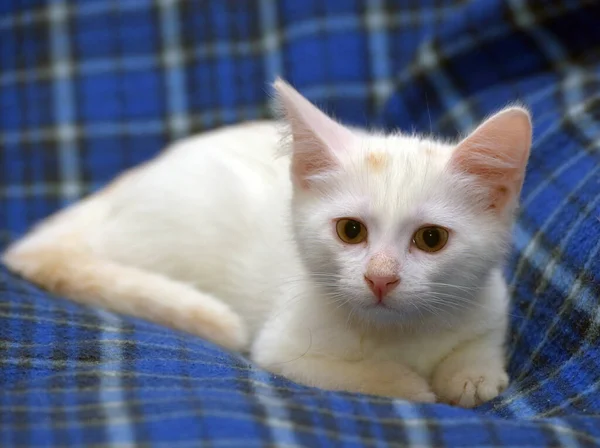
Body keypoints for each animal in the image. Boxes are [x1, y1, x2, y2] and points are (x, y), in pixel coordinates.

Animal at [2, 79, 532, 408]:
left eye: (431, 239)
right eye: (351, 231)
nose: (380, 278)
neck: (401, 334)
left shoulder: (491, 300)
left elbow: (481, 340)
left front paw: (471, 374)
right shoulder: (283, 350)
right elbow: (343, 373)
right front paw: (405, 383)